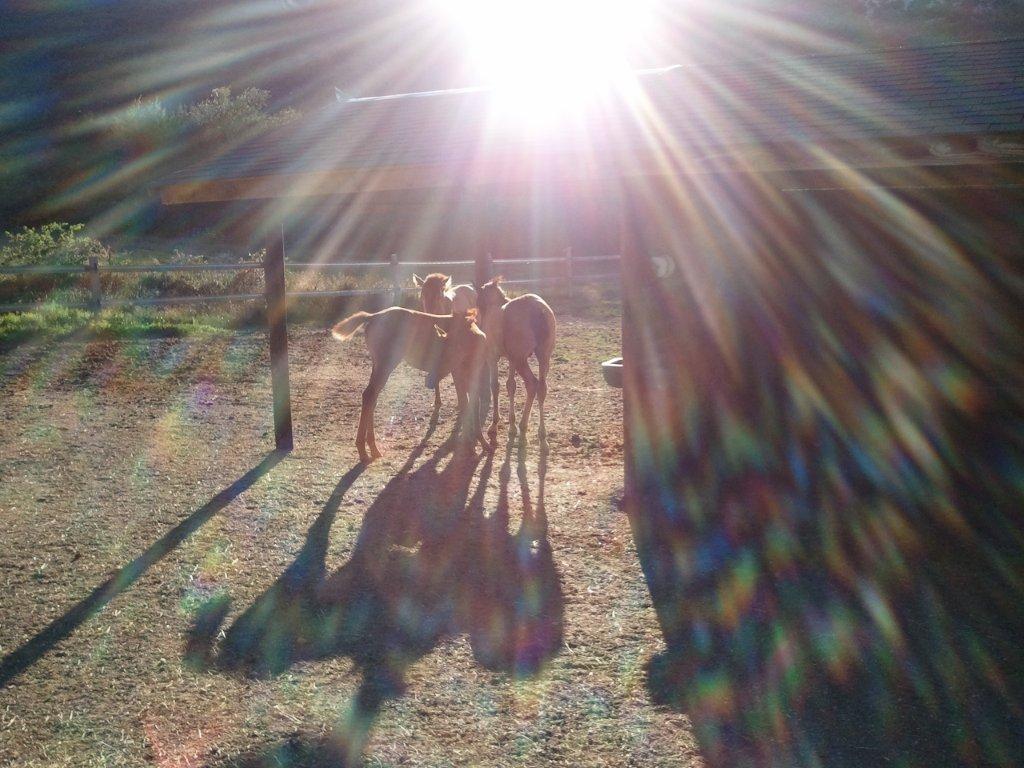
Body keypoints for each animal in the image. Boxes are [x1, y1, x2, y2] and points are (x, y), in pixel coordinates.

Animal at [331, 307, 491, 462]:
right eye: (445, 348)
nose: (430, 380)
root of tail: (373, 316)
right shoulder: (458, 375)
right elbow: (465, 406)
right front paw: (472, 447)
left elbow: (474, 408)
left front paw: (483, 444)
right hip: (386, 364)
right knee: (369, 395)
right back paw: (364, 452)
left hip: (378, 365)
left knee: (371, 398)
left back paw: (372, 449)